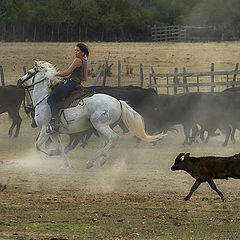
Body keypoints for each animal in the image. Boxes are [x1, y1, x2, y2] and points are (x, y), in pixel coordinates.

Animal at [17, 61, 166, 168]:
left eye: (29, 72)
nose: (19, 81)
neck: (44, 100)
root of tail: (118, 101)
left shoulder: (45, 128)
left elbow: (38, 145)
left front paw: (52, 153)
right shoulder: (53, 132)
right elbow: (59, 147)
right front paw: (65, 163)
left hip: (100, 124)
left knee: (113, 138)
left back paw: (96, 160)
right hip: (99, 127)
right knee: (106, 142)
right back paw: (97, 160)